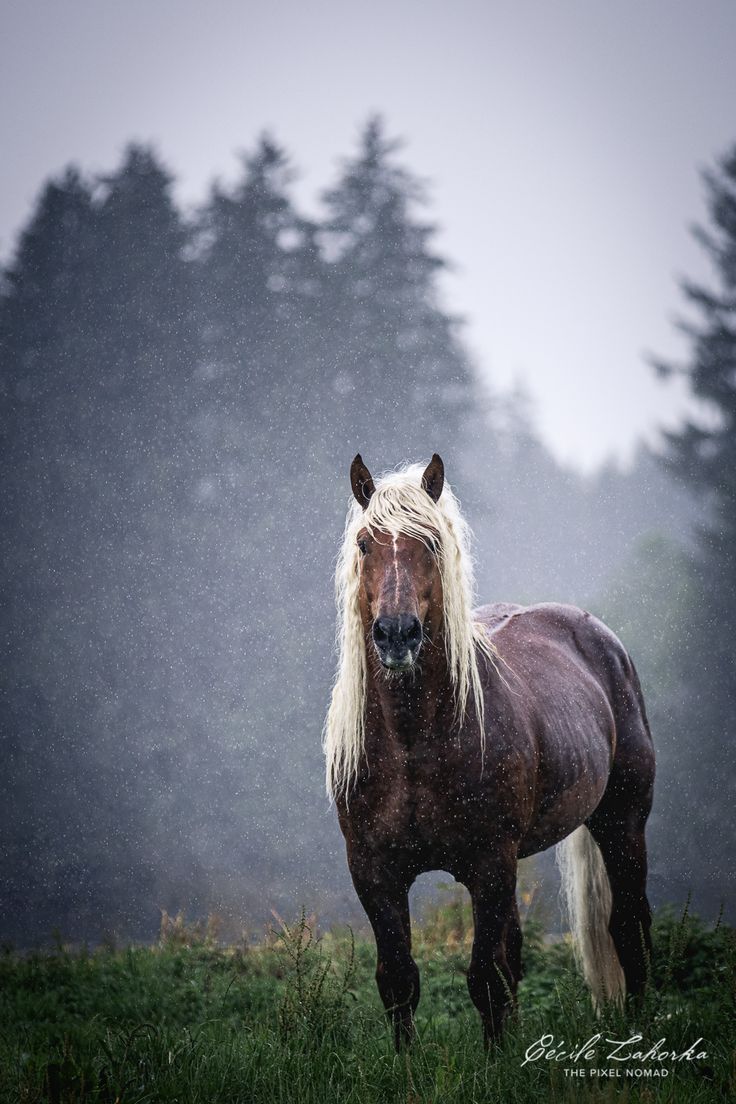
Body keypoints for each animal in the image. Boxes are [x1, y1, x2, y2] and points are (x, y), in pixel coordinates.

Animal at [324, 453, 655, 1049]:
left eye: (432, 543)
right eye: (364, 544)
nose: (396, 634)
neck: (412, 744)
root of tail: (600, 638)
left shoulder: (489, 864)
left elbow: (485, 978)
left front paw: (496, 1060)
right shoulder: (374, 870)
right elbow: (399, 980)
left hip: (622, 822)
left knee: (627, 926)